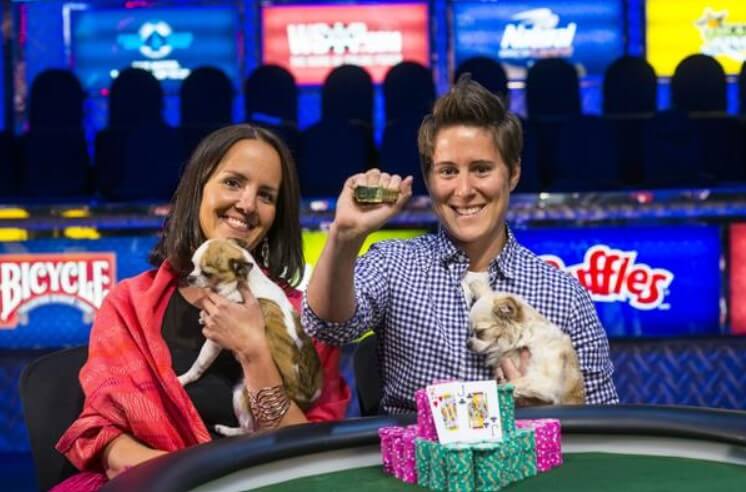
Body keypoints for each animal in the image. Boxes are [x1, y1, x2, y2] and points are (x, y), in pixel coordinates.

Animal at [180, 238, 322, 434]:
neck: (242, 281)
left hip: (243, 395)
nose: (190, 277)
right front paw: (202, 314)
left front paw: (183, 379)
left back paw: (227, 430)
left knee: (251, 430)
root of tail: (307, 396)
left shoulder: (215, 339)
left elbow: (200, 363)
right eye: (192, 265)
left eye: (207, 273)